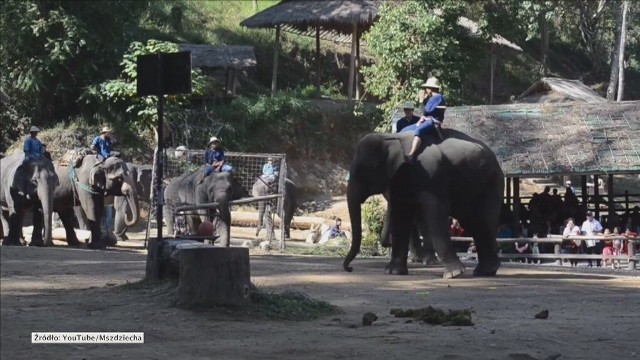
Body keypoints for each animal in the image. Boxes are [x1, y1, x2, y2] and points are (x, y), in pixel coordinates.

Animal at [342, 129, 502, 278]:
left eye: (362, 172)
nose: (350, 268)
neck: (390, 138)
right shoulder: (400, 178)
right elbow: (401, 214)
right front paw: (394, 272)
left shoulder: (430, 174)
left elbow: (436, 211)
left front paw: (454, 274)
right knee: (475, 223)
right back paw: (485, 271)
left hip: (491, 180)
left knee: (482, 221)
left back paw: (483, 271)